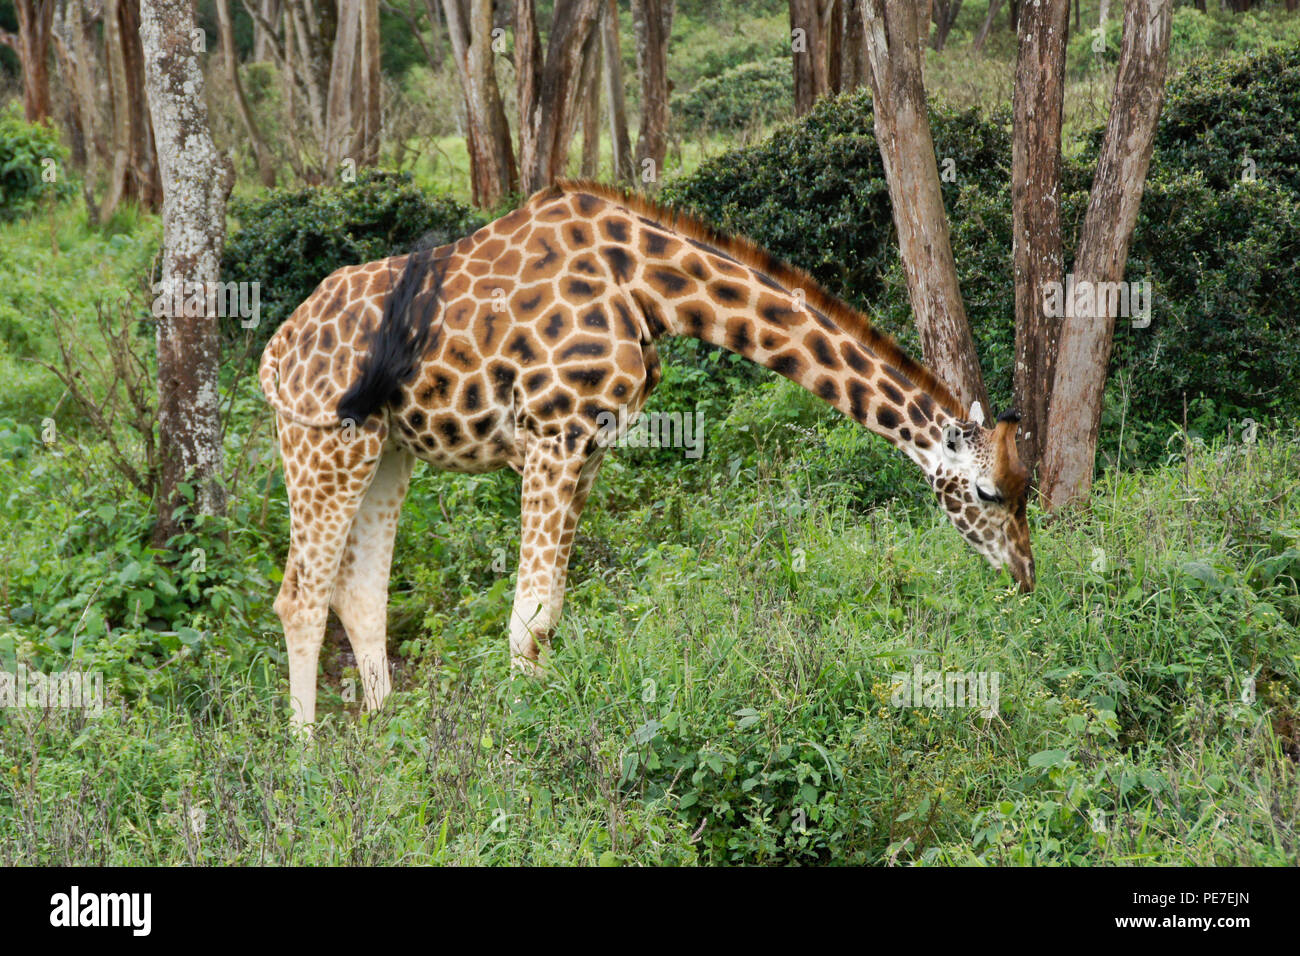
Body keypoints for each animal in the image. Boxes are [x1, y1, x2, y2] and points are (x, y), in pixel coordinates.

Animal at [258, 183, 1034, 728]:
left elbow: (548, 613)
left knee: (359, 594)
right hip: (321, 441)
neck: (650, 287)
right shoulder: (552, 436)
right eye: (989, 494)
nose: (1027, 578)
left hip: (387, 450)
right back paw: (309, 761)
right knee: (299, 596)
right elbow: (526, 619)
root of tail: (275, 351)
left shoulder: (588, 448)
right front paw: (522, 748)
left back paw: (386, 734)